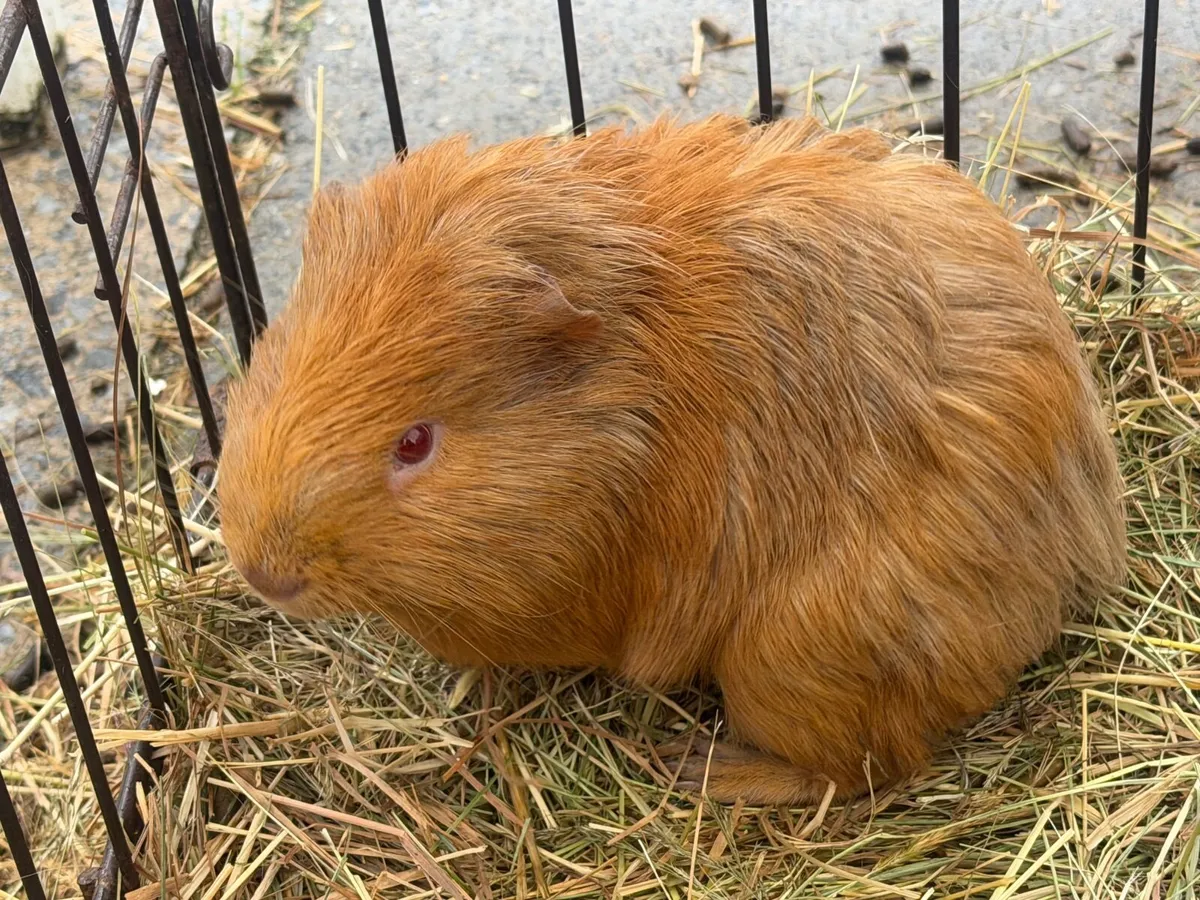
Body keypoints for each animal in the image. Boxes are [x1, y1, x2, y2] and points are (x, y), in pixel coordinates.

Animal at [217, 114, 1125, 805]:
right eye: (272, 357)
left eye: (415, 441)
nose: (264, 573)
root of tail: (1082, 549)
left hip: (788, 657)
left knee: (857, 770)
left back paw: (703, 772)